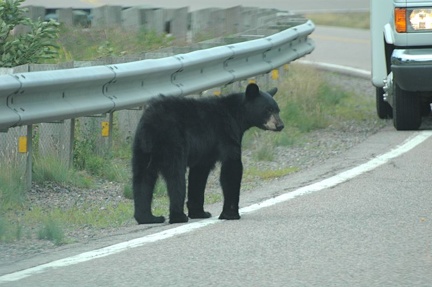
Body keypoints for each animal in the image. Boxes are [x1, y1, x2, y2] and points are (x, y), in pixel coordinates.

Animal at [133, 83, 286, 225]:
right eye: (268, 109)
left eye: (277, 110)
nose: (280, 125)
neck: (236, 115)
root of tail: (151, 123)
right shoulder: (225, 134)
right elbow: (232, 168)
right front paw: (230, 214)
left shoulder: (205, 152)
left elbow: (199, 175)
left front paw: (200, 212)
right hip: (172, 141)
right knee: (175, 177)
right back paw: (178, 216)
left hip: (142, 147)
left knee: (143, 178)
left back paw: (148, 217)